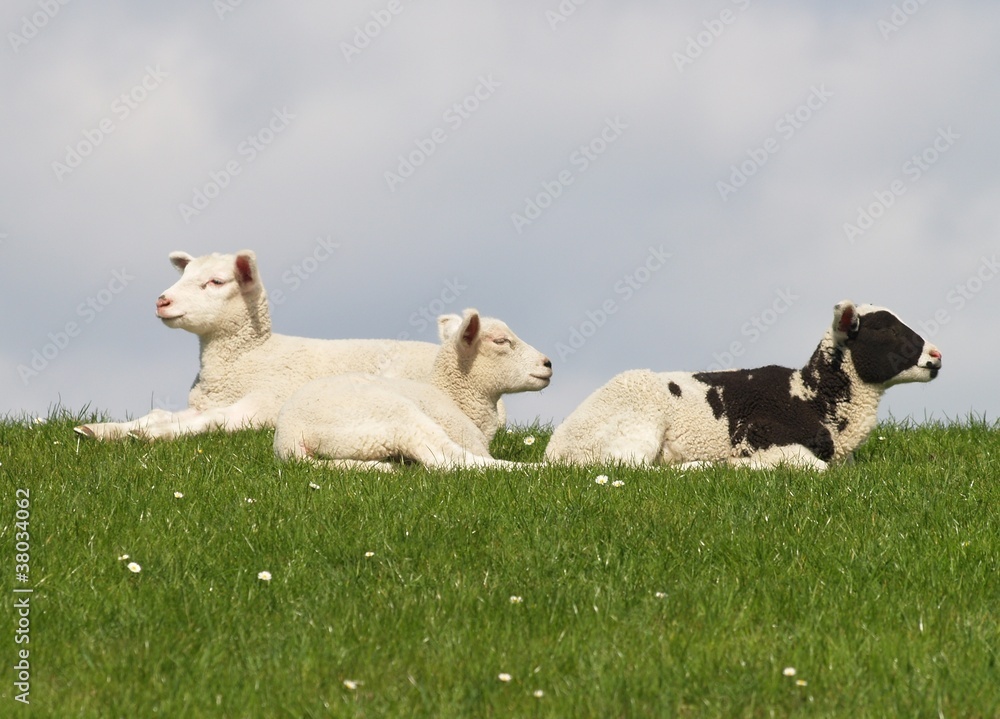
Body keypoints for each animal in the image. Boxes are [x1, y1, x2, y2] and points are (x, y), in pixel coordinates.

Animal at [74, 249, 490, 440]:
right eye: (185, 274)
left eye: (216, 282)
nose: (162, 301)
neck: (250, 357)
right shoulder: (209, 399)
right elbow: (158, 413)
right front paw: (102, 430)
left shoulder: (264, 404)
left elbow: (213, 421)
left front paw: (153, 436)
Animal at [273, 308, 552, 470]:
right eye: (501, 341)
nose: (548, 363)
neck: (456, 400)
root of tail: (290, 438)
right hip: (395, 417)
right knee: (448, 461)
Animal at [544, 300, 942, 470]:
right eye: (886, 329)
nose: (937, 355)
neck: (810, 396)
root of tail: (555, 449)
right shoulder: (759, 435)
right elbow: (814, 467)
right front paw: (738, 466)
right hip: (636, 426)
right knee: (631, 469)